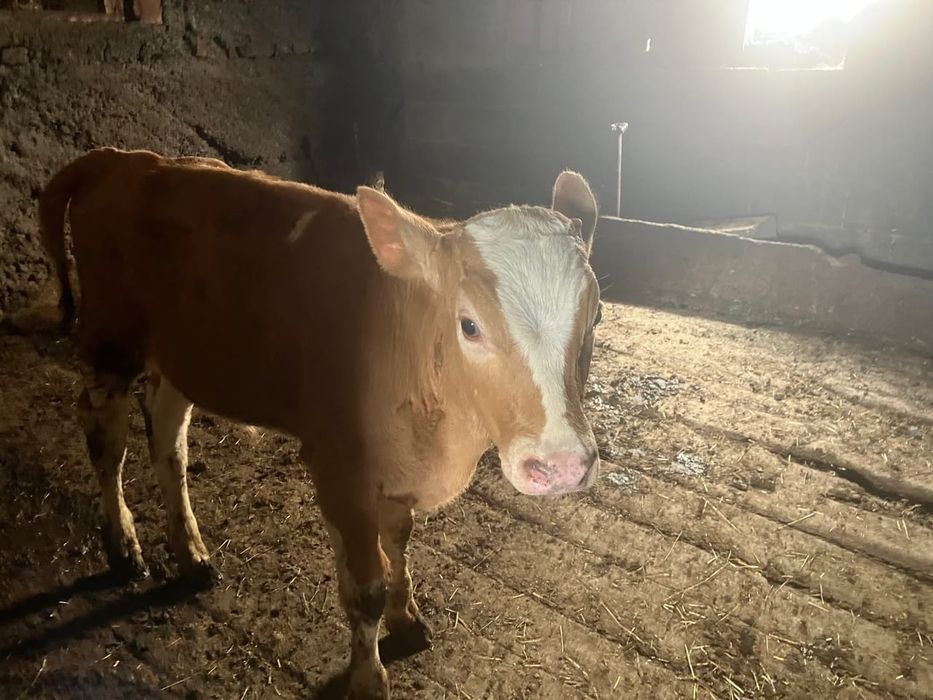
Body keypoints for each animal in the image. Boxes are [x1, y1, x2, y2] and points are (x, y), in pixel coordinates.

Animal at [39, 148, 602, 699]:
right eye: (469, 325)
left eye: (594, 317)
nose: (562, 465)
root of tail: (122, 158)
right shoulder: (338, 465)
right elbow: (365, 587)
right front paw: (368, 679)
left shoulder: (396, 464)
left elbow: (399, 539)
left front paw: (407, 616)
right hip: (110, 340)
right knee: (106, 440)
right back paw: (123, 545)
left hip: (183, 357)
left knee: (167, 439)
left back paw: (191, 553)